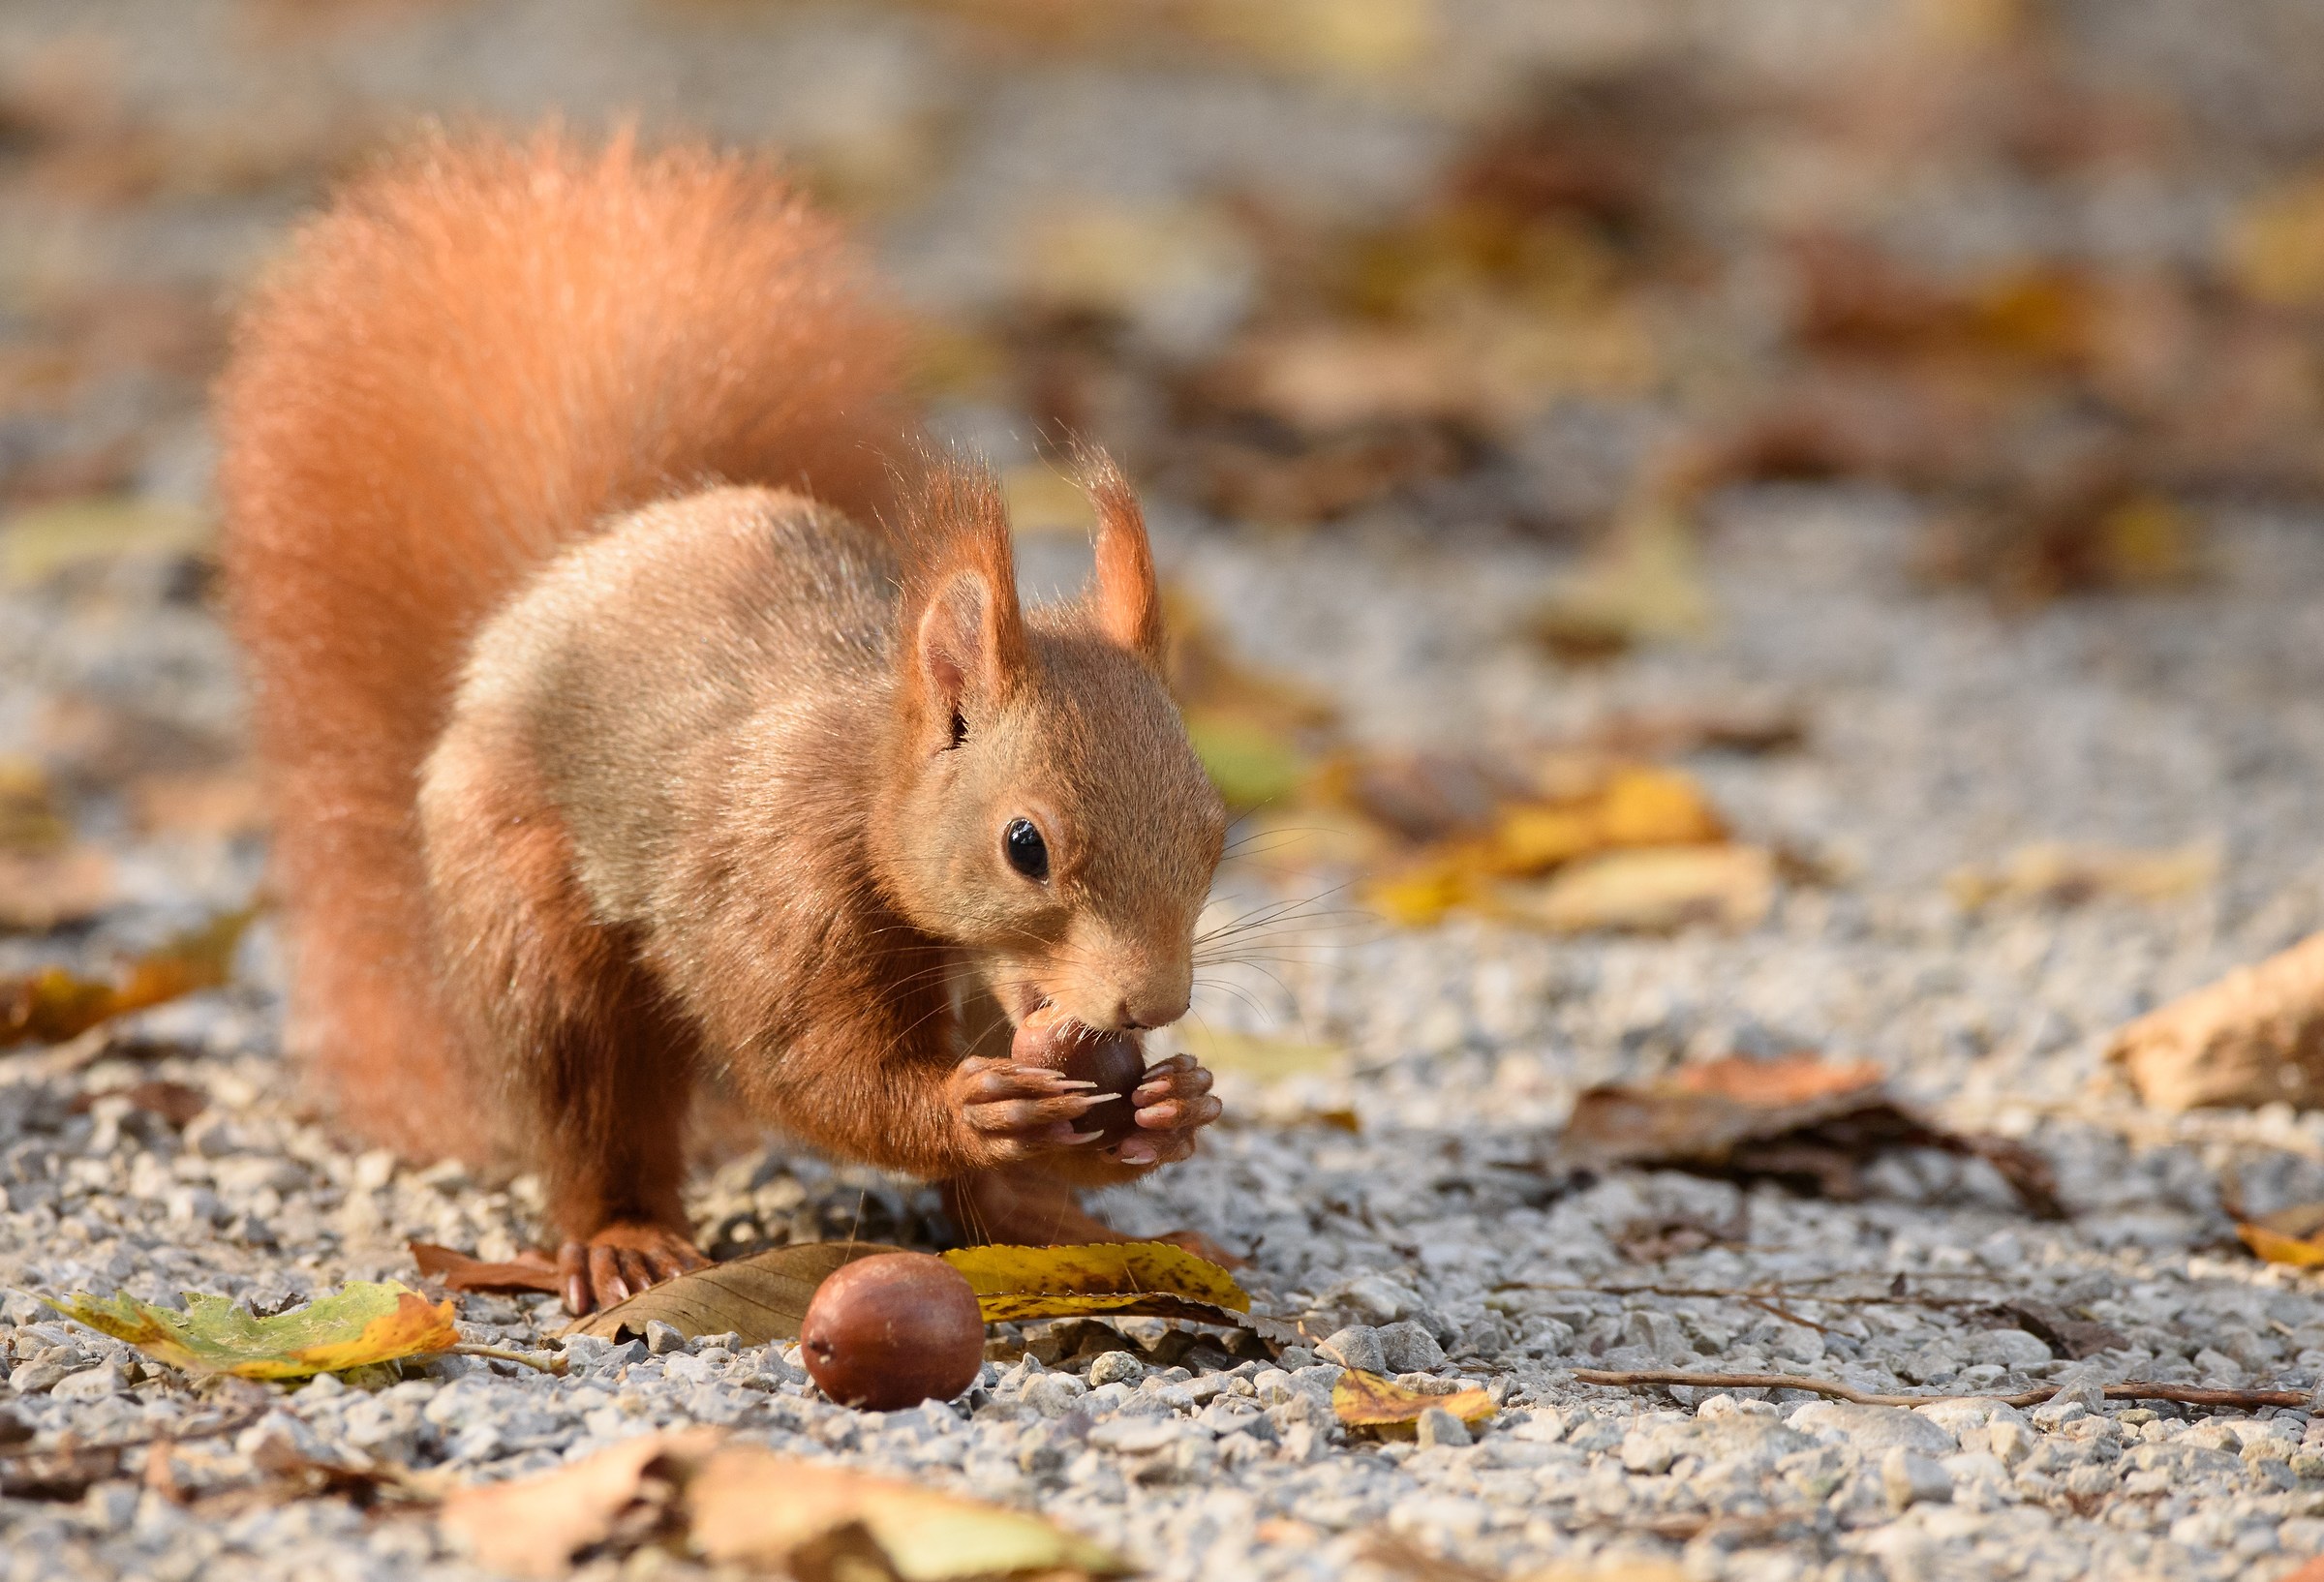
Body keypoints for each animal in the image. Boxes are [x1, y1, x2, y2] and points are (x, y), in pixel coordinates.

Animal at [215, 128, 1229, 1314]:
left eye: (1215, 835)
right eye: (1025, 845)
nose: (1153, 1002)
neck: (863, 790)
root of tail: (562, 576)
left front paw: (1173, 1106)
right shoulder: (777, 890)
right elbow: (803, 1067)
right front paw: (973, 1108)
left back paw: (1063, 1229)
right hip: (528, 921)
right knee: (586, 1096)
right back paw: (624, 1236)